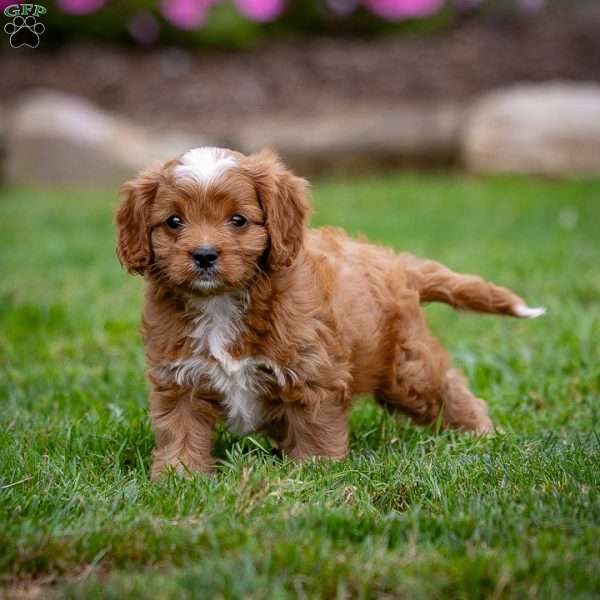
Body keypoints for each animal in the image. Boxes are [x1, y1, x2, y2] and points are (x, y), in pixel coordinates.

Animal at [116, 145, 544, 478]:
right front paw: (179, 476)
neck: (221, 301)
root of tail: (396, 264)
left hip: (407, 369)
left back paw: (480, 433)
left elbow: (315, 425)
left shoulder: (312, 371)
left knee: (448, 390)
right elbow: (180, 428)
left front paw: (315, 472)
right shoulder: (179, 377)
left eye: (238, 220)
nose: (204, 255)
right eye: (173, 222)